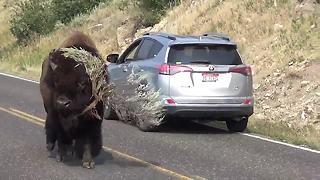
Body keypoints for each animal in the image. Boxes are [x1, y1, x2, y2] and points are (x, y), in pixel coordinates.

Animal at [38, 31, 104, 169]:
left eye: (82, 82)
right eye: (56, 81)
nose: (63, 103)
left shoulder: (92, 120)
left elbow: (88, 140)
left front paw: (88, 162)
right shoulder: (57, 117)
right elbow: (60, 135)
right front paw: (61, 156)